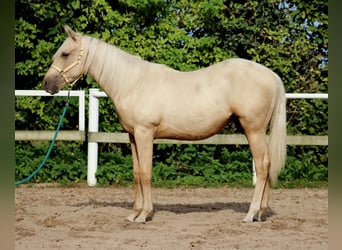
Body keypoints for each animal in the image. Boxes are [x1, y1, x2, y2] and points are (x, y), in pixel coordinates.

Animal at [44, 26, 288, 224]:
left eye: (65, 54)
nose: (47, 84)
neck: (132, 82)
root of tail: (272, 75)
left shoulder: (145, 133)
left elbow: (146, 173)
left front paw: (144, 215)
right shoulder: (133, 136)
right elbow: (136, 173)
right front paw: (134, 213)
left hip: (253, 129)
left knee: (262, 166)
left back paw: (251, 214)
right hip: (257, 131)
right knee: (266, 164)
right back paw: (261, 213)